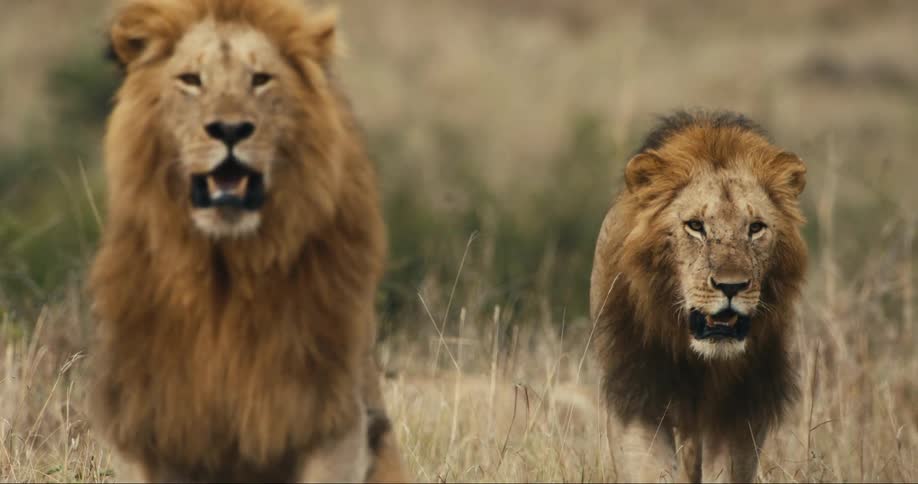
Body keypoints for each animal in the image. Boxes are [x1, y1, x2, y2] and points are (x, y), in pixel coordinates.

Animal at [88, 0, 405, 481]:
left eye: (260, 79)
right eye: (191, 80)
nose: (230, 129)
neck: (228, 267)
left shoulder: (330, 417)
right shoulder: (151, 421)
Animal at [590, 111, 807, 482]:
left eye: (755, 228)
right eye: (695, 225)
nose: (731, 286)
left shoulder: (741, 409)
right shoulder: (636, 392)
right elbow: (649, 469)